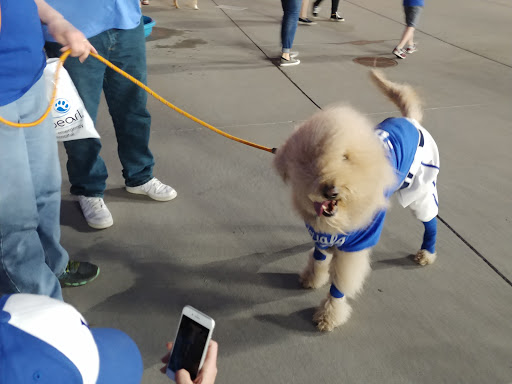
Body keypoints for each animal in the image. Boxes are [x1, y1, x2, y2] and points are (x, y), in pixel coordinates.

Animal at [274, 70, 438, 332]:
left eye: (346, 157)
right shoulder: (322, 234)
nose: (331, 190)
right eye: (313, 158)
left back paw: (426, 253)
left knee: (430, 222)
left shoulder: (355, 247)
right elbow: (319, 259)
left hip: (419, 189)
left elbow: (340, 284)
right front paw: (312, 277)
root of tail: (410, 121)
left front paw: (329, 315)